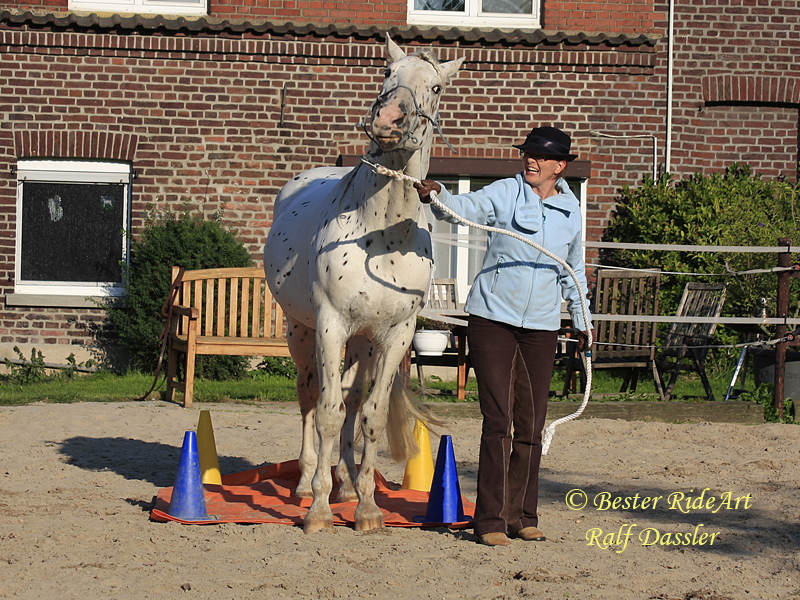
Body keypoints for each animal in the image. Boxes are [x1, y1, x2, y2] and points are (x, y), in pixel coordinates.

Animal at [262, 35, 462, 532]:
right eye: (387, 74)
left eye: (435, 87)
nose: (388, 119)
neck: (383, 237)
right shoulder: (330, 326)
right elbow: (328, 416)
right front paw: (317, 511)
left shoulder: (394, 336)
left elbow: (369, 415)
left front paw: (368, 508)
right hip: (303, 334)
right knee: (310, 399)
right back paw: (306, 482)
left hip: (361, 344)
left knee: (351, 402)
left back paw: (347, 485)